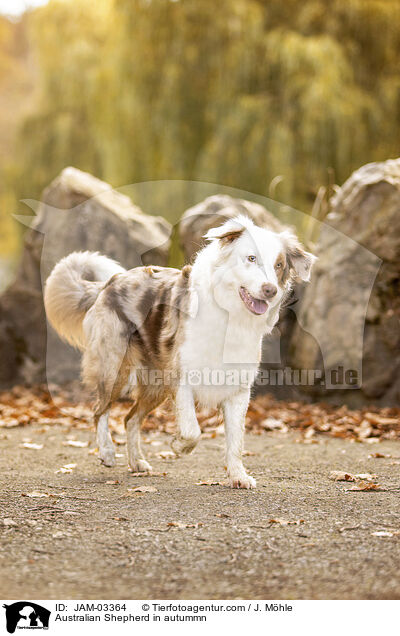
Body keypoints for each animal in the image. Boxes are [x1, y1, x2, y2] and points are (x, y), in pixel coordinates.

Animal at [45, 216, 316, 490]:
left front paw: (238, 475)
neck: (231, 315)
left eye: (279, 265)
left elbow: (236, 440)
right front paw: (179, 446)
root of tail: (110, 283)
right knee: (99, 409)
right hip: (115, 370)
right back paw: (107, 452)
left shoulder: (238, 389)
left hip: (155, 385)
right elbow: (192, 430)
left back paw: (137, 462)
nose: (270, 290)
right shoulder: (181, 378)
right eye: (251, 258)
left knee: (130, 418)